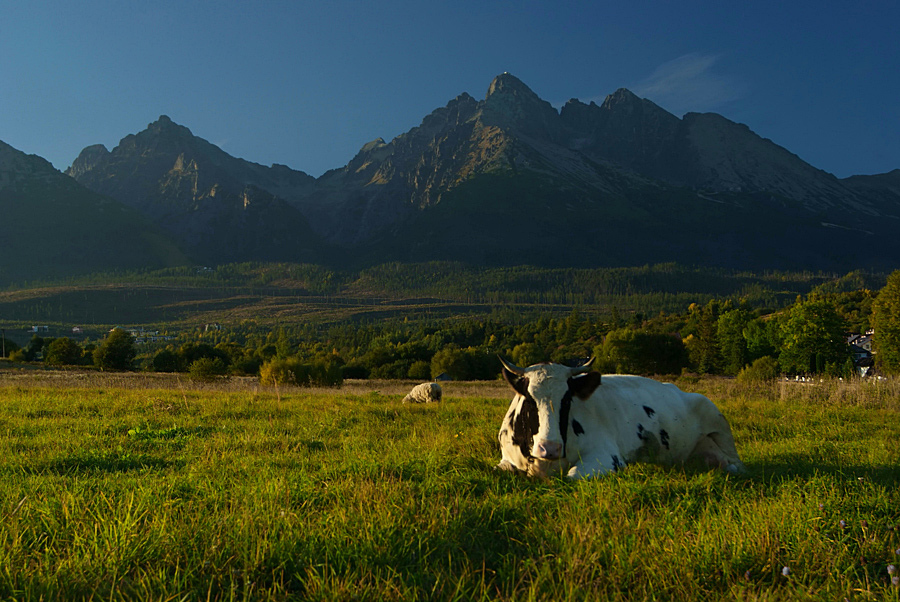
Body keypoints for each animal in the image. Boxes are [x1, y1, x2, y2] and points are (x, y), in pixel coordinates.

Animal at [496, 356, 740, 478]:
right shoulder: (506, 459)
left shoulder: (606, 455)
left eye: (567, 399)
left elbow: (573, 475)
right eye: (529, 399)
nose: (550, 448)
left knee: (735, 462)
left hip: (717, 419)